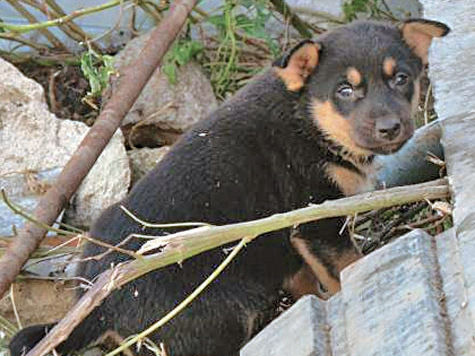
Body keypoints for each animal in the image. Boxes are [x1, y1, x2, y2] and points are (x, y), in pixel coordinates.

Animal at [11, 18, 450, 356]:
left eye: (401, 79)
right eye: (345, 90)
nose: (391, 128)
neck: (306, 119)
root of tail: (94, 300)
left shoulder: (288, 242)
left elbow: (306, 276)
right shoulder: (316, 220)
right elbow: (346, 266)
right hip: (209, 322)